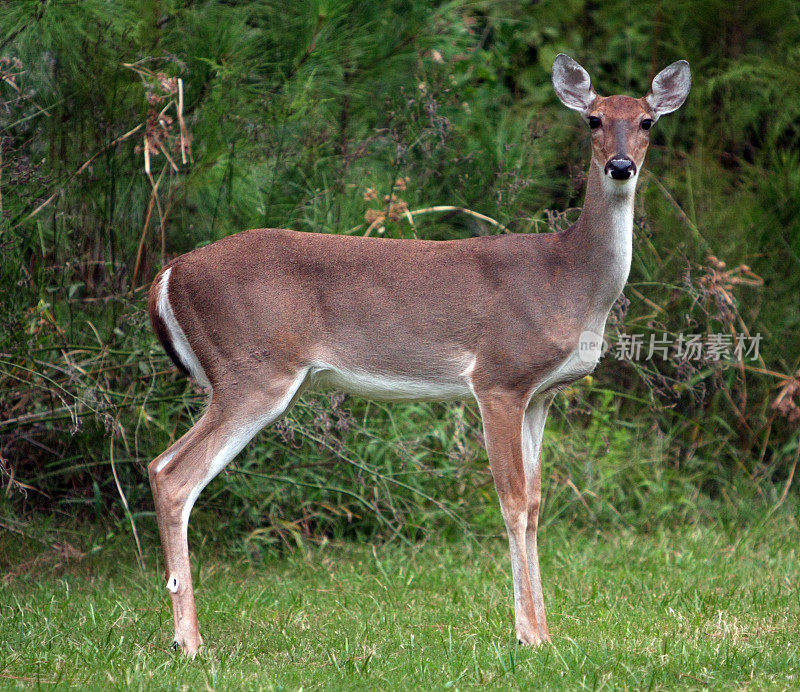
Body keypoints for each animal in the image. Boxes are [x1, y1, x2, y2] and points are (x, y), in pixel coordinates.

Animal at [147, 55, 692, 656]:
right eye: (593, 119)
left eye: (646, 122)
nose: (620, 166)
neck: (569, 278)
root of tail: (169, 274)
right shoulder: (499, 376)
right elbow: (511, 500)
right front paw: (527, 635)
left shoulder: (541, 395)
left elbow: (534, 504)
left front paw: (547, 633)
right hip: (253, 371)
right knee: (172, 474)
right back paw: (190, 642)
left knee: (161, 466)